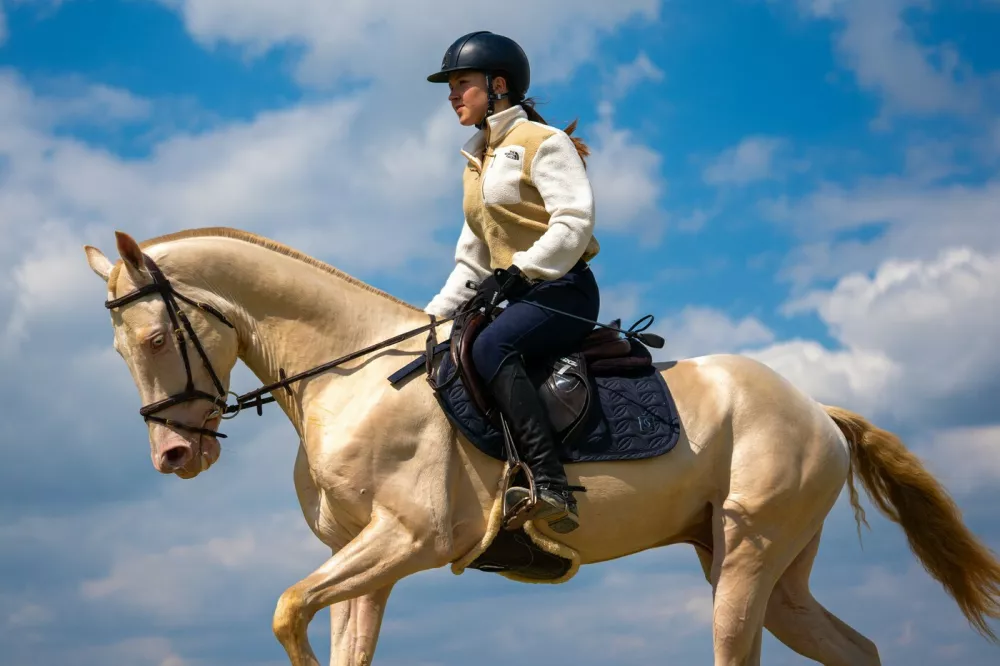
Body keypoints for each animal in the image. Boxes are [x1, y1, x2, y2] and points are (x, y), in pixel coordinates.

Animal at [81, 227, 1000, 666]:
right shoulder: (364, 559)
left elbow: (285, 609)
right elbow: (320, 626)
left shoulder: (410, 540)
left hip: (748, 554)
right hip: (768, 572)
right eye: (119, 350)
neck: (351, 372)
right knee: (856, 649)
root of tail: (817, 409)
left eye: (157, 337)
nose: (175, 457)